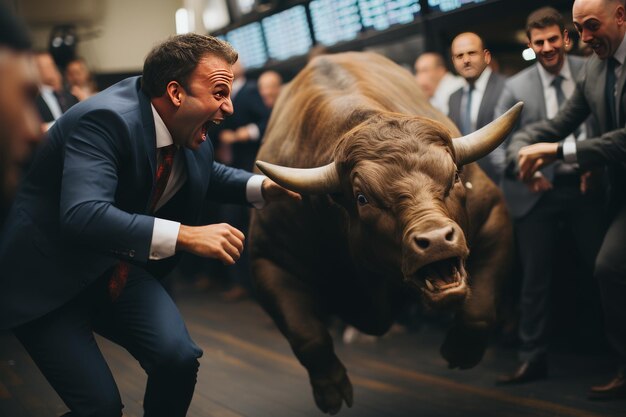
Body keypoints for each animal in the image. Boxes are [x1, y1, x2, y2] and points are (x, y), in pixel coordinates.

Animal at [247, 52, 516, 412]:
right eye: (362, 198)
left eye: (455, 175)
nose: (435, 240)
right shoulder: (269, 259)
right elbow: (307, 335)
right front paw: (330, 389)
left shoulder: (492, 217)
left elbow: (481, 308)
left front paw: (461, 350)